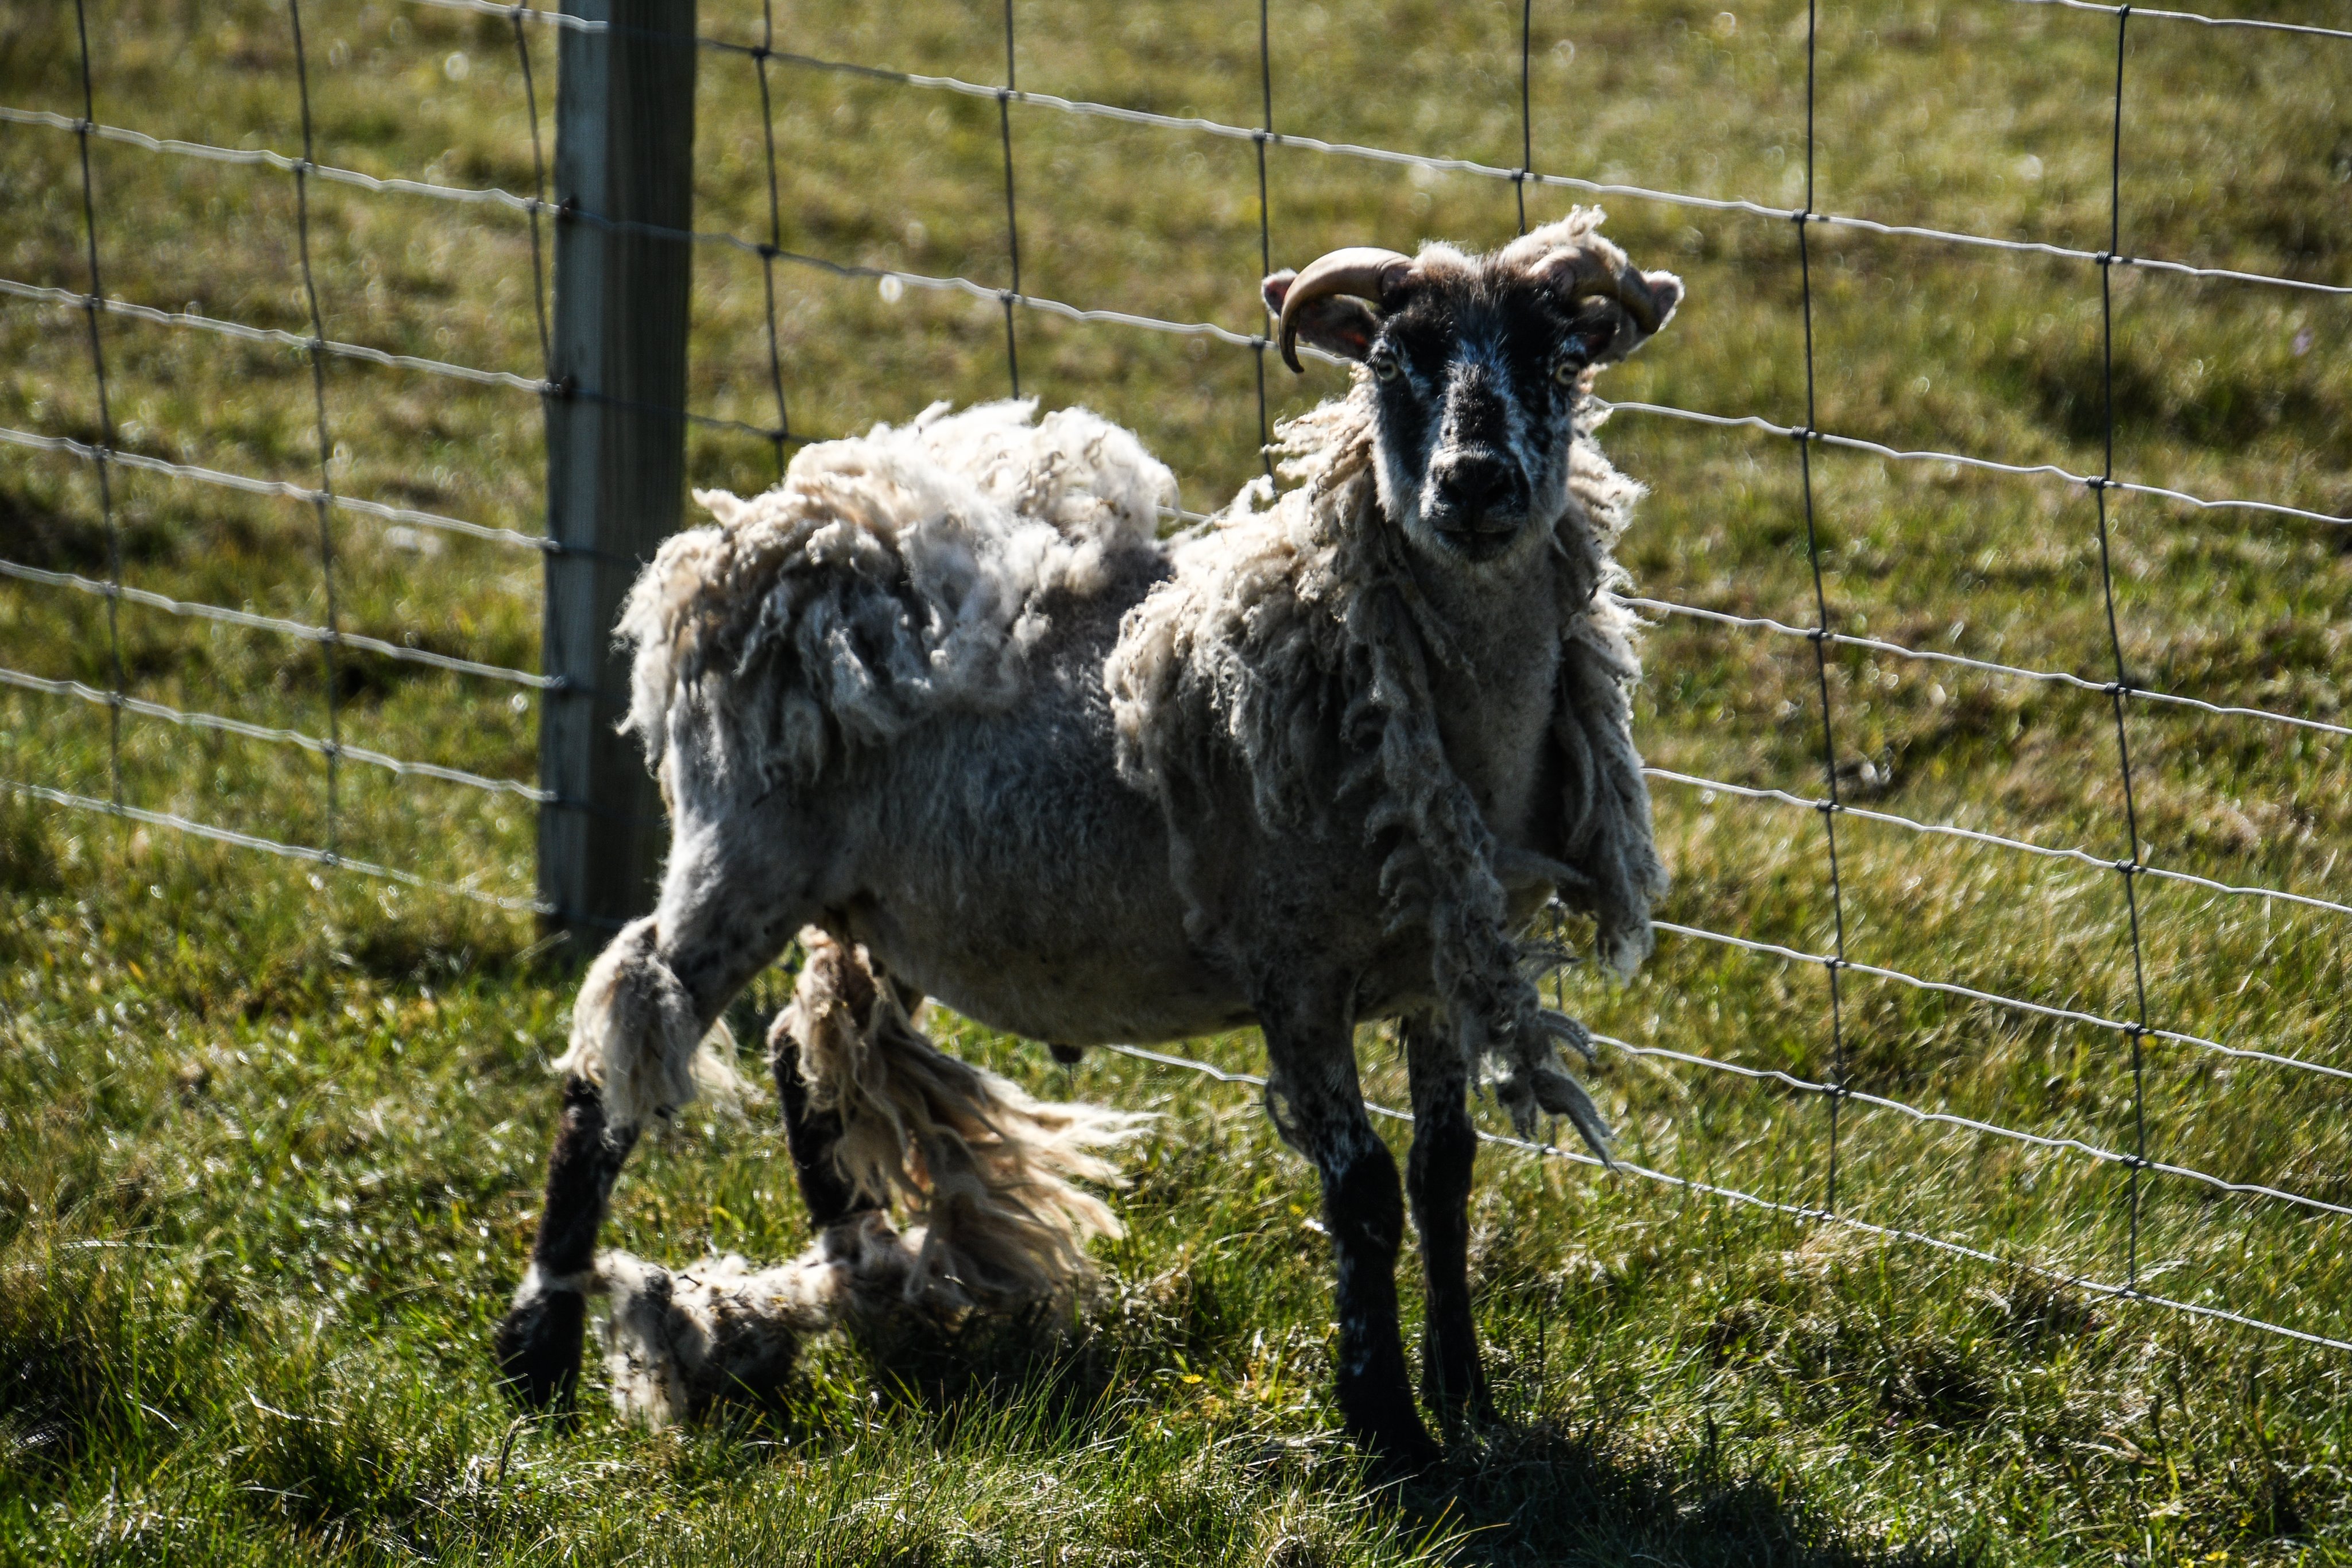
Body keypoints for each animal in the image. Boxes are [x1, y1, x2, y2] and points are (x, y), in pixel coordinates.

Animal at [496, 211, 1684, 1476]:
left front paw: (1465, 1394)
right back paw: (538, 1349)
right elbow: (1362, 1190)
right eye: (1390, 358)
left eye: (1556, 358)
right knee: (621, 1049)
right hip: (743, 853)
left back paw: (872, 1294)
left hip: (895, 903)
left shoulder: (1437, 962)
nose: (1474, 481)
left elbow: (1441, 1174)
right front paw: (1389, 1430)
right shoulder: (1294, 967)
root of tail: (781, 536)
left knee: (800, 1049)